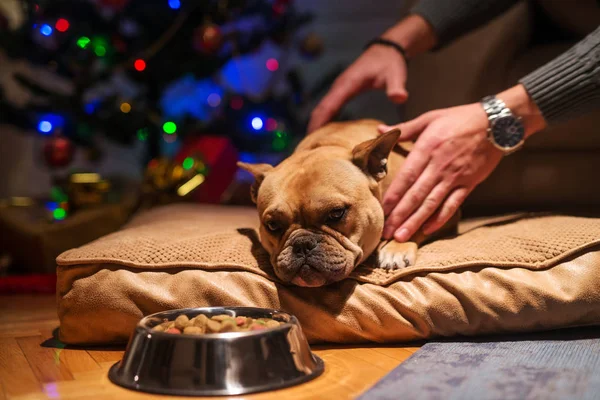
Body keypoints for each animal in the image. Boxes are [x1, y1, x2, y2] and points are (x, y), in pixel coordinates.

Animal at [237, 119, 458, 288]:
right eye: (272, 225)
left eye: (336, 213)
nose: (302, 244)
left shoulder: (437, 209)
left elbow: (413, 225)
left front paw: (395, 249)